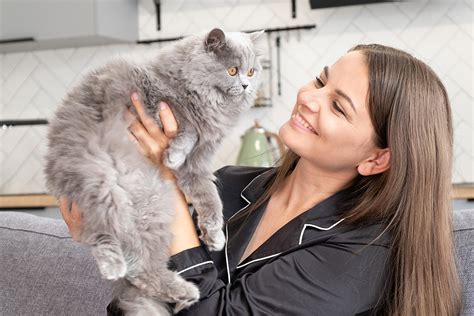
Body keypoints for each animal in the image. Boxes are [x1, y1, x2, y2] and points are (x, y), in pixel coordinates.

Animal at [45, 28, 262, 314]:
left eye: (251, 72)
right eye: (232, 70)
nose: (247, 85)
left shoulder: (197, 166)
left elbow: (210, 199)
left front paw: (214, 236)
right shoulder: (153, 98)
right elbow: (187, 125)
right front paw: (174, 154)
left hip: (150, 207)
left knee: (138, 266)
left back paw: (183, 293)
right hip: (99, 181)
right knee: (109, 239)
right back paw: (122, 269)